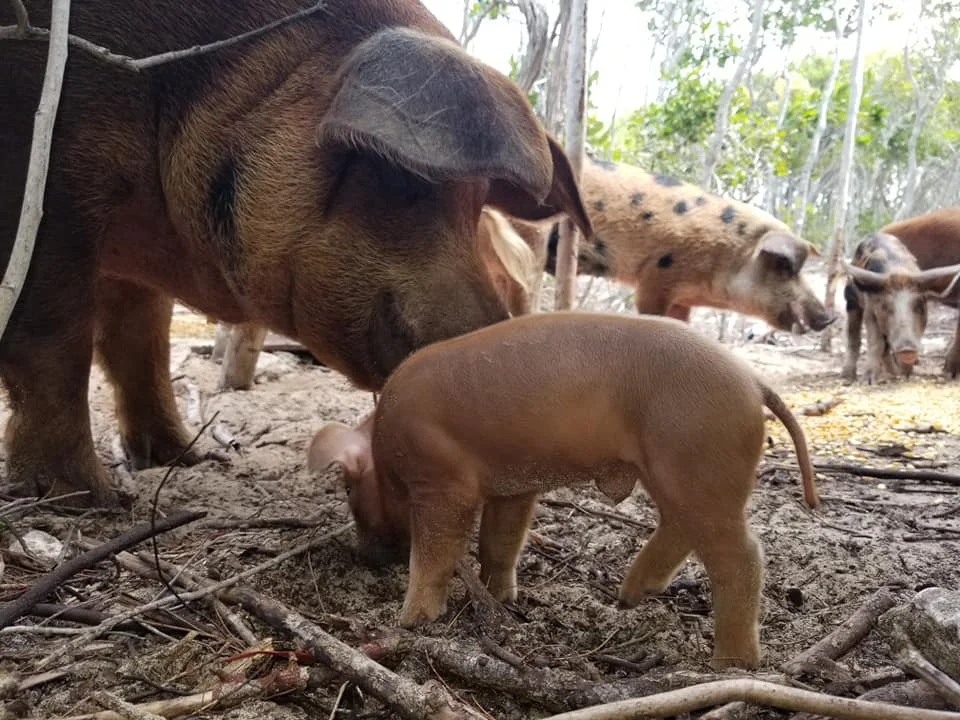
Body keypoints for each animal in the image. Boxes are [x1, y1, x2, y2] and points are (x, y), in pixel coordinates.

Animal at [0, 1, 591, 505]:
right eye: (401, 181)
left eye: (477, 204)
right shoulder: (44, 186)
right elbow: (55, 341)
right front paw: (89, 498)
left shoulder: (131, 262)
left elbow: (142, 347)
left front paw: (191, 458)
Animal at [308, 312, 818, 669]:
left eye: (348, 488)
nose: (362, 557)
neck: (384, 447)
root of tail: (753, 381)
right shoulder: (512, 487)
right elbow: (500, 543)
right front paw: (503, 599)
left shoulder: (444, 484)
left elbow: (433, 554)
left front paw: (411, 621)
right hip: (676, 472)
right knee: (680, 526)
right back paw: (627, 597)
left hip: (697, 460)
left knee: (740, 555)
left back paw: (731, 665)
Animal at [841, 232, 960, 384]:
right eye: (885, 306)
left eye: (920, 304)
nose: (907, 348)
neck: (897, 270)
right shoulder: (870, 308)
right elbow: (875, 341)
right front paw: (868, 381)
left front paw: (905, 375)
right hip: (850, 299)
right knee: (854, 336)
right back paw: (847, 376)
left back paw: (893, 374)